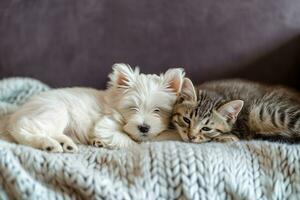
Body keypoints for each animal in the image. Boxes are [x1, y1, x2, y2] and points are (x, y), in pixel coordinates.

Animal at [4, 63, 184, 152]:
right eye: (133, 108)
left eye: (157, 110)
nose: (144, 127)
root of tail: (16, 113)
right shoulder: (105, 125)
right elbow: (130, 141)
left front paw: (99, 142)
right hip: (56, 111)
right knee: (24, 129)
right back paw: (49, 144)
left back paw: (66, 143)